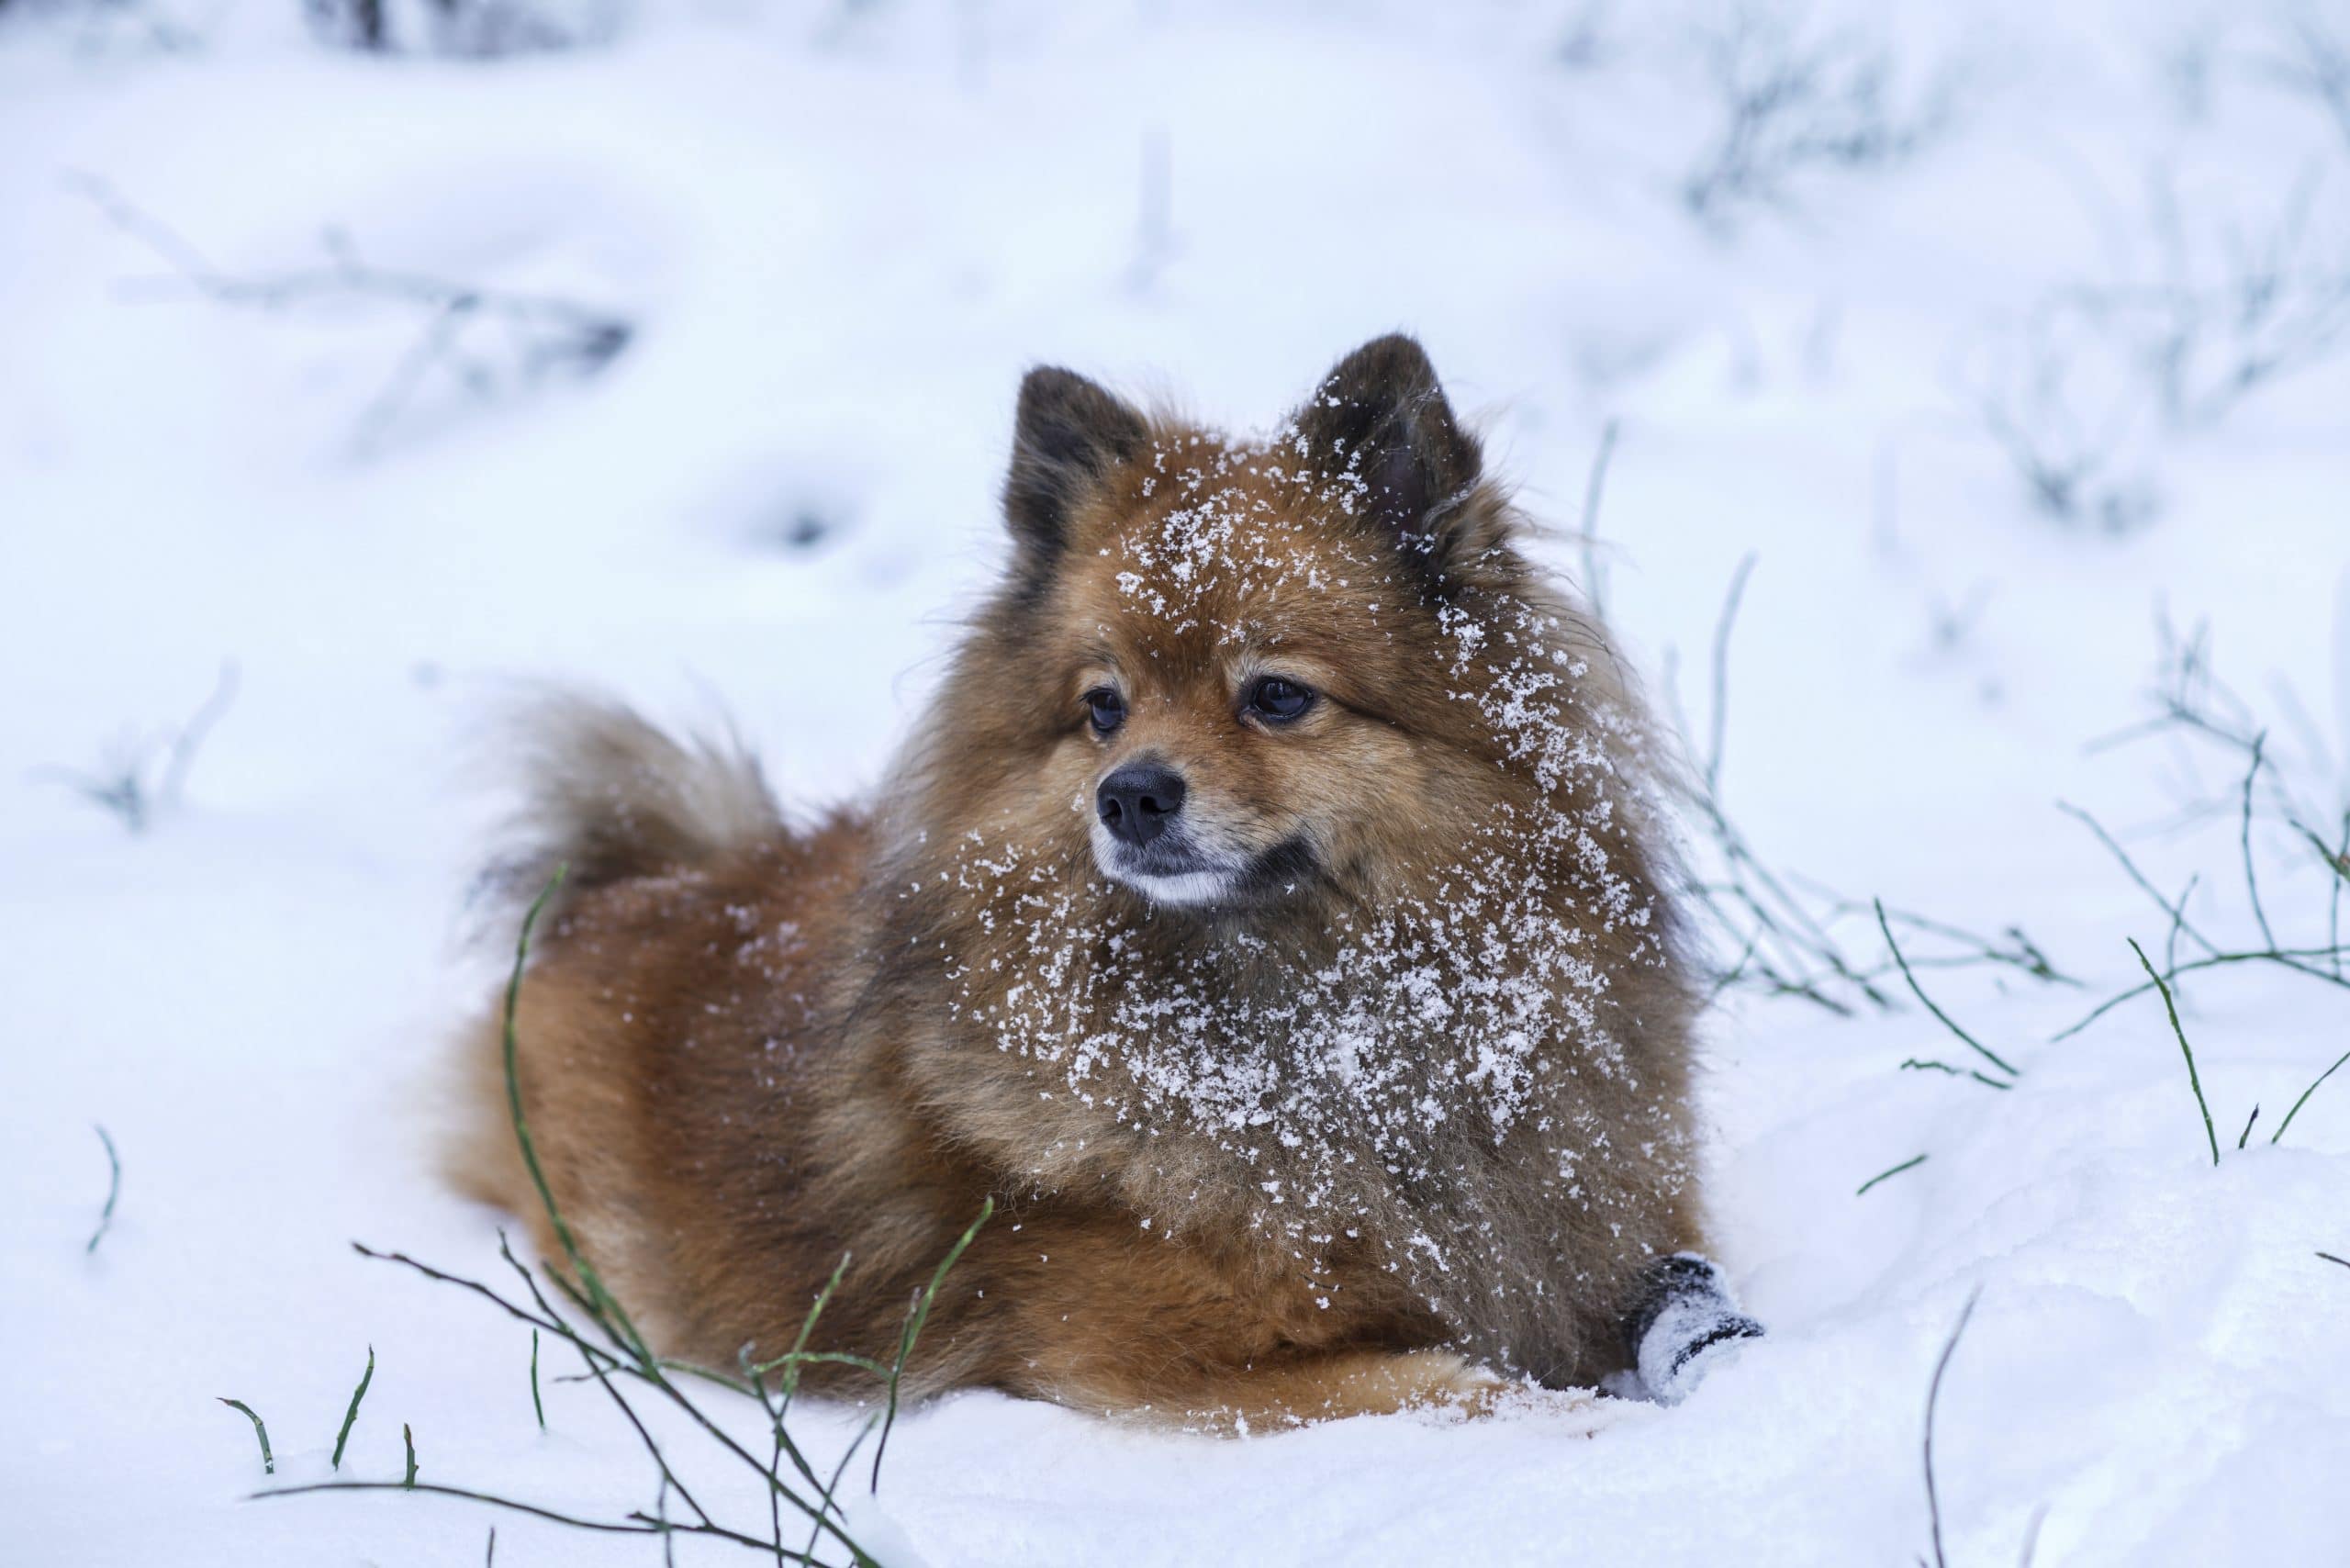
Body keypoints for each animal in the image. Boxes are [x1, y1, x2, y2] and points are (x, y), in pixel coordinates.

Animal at [453, 338, 1748, 1428]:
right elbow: (1489, 1394)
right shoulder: (1173, 1349)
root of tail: (654, 879)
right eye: (1103, 708)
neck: (1320, 1032)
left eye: (1276, 695)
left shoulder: (1602, 1235)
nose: (1128, 795)